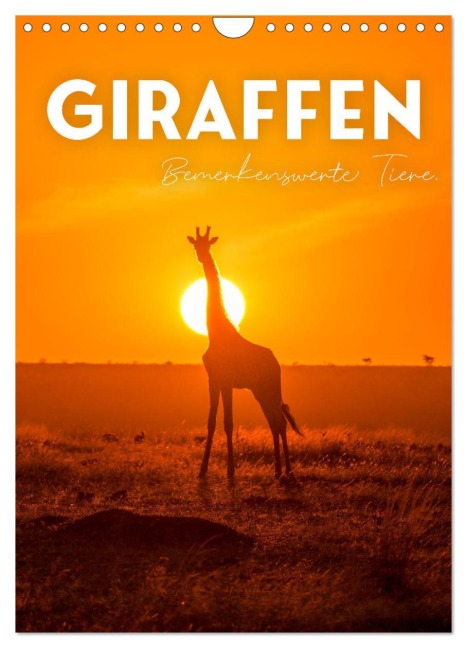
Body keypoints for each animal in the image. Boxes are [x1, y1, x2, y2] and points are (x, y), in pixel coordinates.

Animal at [187, 226, 303, 480]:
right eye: (195, 245)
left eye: (208, 244)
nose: (201, 257)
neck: (216, 332)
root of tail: (276, 363)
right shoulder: (213, 380)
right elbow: (211, 422)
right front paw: (202, 470)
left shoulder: (227, 382)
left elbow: (228, 423)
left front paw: (230, 471)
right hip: (259, 390)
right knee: (274, 421)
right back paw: (278, 471)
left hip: (270, 387)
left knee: (279, 421)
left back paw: (287, 471)